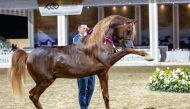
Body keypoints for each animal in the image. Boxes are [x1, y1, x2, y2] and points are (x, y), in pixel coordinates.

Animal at [8, 14, 150, 108]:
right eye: (128, 30)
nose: (131, 45)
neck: (99, 42)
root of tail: (28, 55)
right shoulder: (108, 62)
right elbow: (126, 51)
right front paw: (147, 55)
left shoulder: (103, 73)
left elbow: (106, 96)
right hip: (44, 81)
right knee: (33, 96)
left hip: (44, 81)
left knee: (32, 95)